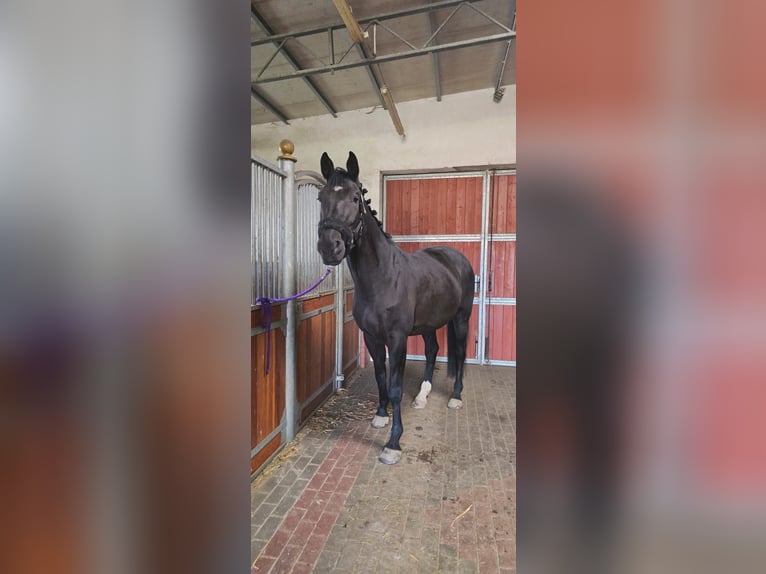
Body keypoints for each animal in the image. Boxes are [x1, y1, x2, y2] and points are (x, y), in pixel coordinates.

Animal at [316, 151, 475, 465]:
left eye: (355, 197)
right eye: (320, 197)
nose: (330, 247)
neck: (383, 277)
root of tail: (456, 257)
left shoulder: (397, 339)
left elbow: (395, 386)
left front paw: (393, 443)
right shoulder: (372, 338)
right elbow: (380, 376)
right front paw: (380, 416)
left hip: (461, 318)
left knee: (460, 354)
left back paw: (455, 397)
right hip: (428, 325)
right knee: (432, 351)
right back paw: (423, 396)